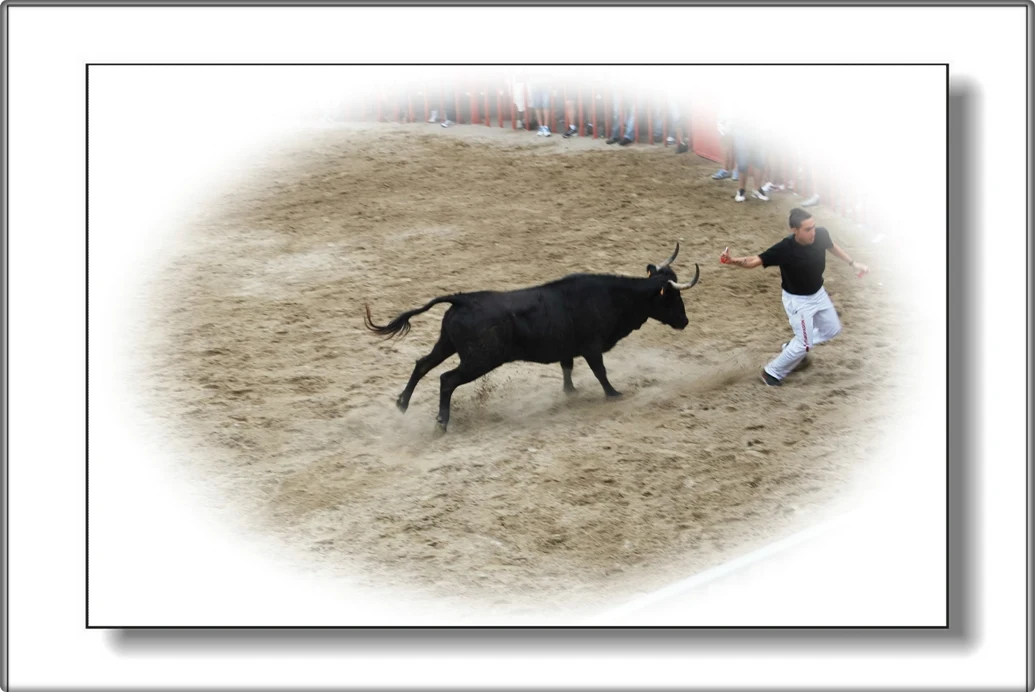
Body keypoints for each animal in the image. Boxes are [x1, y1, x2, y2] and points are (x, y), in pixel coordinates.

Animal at [363, 243, 699, 431]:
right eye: (672, 297)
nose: (685, 320)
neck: (613, 297)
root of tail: (463, 299)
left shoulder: (570, 348)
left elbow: (567, 368)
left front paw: (570, 392)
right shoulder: (592, 348)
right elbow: (600, 372)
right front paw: (614, 394)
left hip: (447, 344)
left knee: (422, 364)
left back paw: (402, 404)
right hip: (479, 360)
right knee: (446, 379)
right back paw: (442, 422)